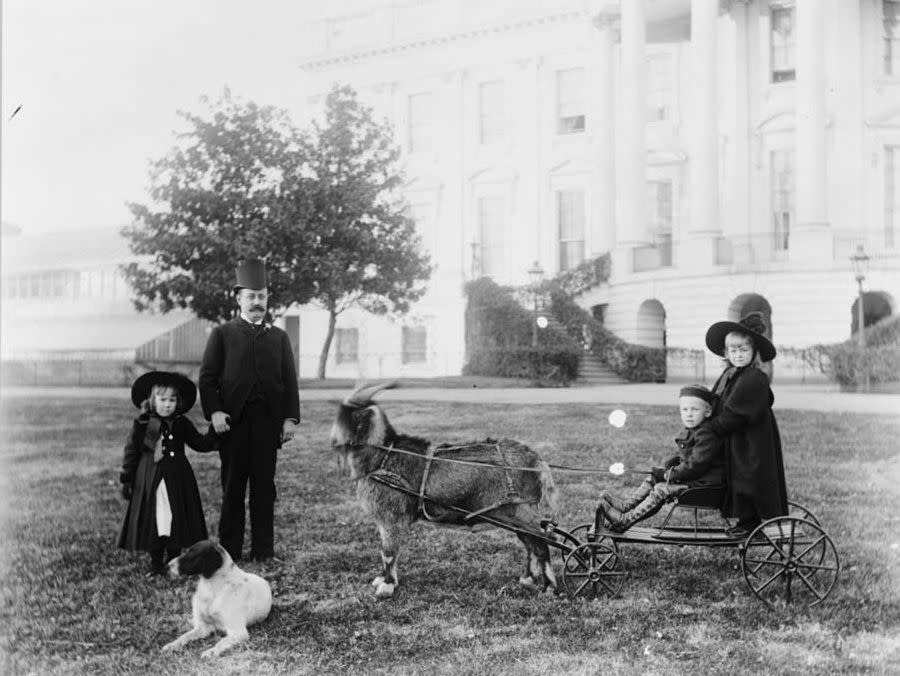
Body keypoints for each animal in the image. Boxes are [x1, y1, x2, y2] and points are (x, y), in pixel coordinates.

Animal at [330, 382, 556, 600]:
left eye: (345, 414)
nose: (333, 441)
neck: (384, 455)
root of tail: (536, 460)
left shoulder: (392, 517)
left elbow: (389, 552)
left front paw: (386, 587)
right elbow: (387, 552)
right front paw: (382, 580)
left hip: (521, 511)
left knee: (542, 542)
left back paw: (550, 587)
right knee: (530, 543)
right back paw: (527, 579)